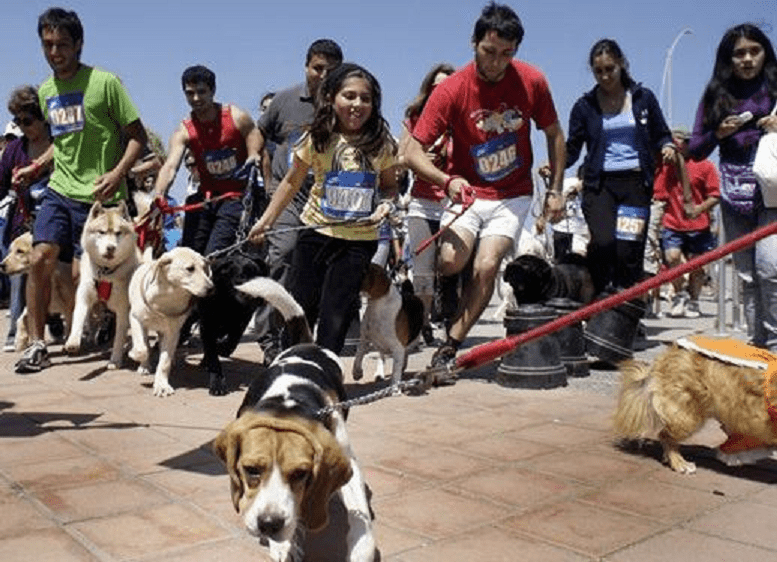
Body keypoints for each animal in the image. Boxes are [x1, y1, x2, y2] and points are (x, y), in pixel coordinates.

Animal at [63, 201, 141, 368]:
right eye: (102, 232)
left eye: (118, 233)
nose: (111, 248)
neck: (106, 272)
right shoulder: (84, 295)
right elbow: (78, 317)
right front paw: (73, 341)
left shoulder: (122, 309)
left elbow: (119, 337)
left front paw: (115, 359)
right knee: (92, 320)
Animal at [127, 247, 212, 396]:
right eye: (190, 269)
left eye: (204, 268)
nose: (211, 288)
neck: (167, 298)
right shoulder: (135, 318)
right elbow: (142, 348)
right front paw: (135, 355)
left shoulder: (172, 332)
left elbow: (165, 361)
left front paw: (162, 385)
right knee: (145, 344)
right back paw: (144, 366)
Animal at [215, 276, 376, 560]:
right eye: (251, 470)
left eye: (301, 473)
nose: (269, 525)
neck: (287, 404)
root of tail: (306, 344)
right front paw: (283, 545)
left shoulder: (348, 463)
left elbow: (360, 516)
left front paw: (361, 549)